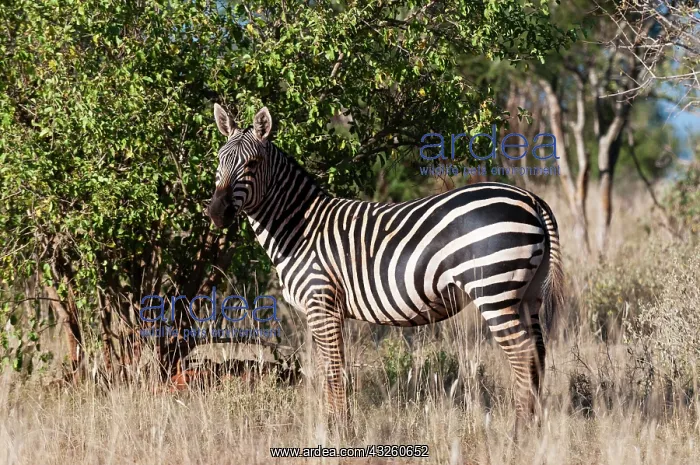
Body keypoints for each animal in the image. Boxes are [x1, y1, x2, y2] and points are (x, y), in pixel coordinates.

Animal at [207, 104, 564, 432]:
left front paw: (339, 431)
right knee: (538, 351)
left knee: (522, 352)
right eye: (219, 160)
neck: (299, 228)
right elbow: (330, 368)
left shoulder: (321, 302)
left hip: (493, 289)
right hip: (527, 294)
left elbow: (333, 370)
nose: (216, 213)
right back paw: (534, 429)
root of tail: (530, 198)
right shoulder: (328, 310)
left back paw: (518, 431)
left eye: (251, 164)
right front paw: (337, 425)